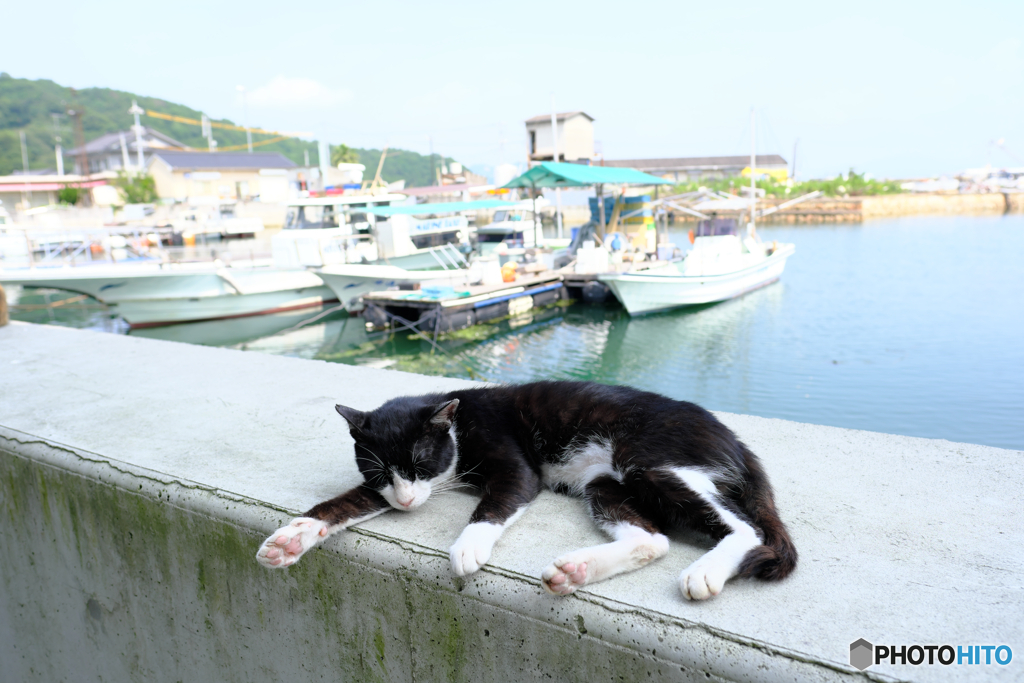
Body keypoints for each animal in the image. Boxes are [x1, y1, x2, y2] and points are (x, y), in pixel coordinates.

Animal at [258, 382, 798, 602]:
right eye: (378, 472)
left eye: (420, 463)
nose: (407, 503)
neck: (458, 419)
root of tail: (735, 439)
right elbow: (343, 503)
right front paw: (292, 536)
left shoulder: (515, 465)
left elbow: (494, 503)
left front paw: (468, 546)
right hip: (604, 484)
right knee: (653, 539)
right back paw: (576, 570)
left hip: (646, 458)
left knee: (747, 529)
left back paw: (706, 571)